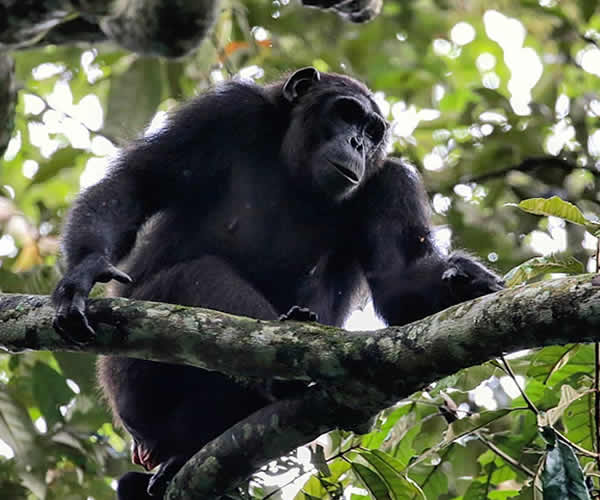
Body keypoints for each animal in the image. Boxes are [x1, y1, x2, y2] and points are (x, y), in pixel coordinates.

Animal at [51, 68, 504, 498]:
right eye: (347, 113)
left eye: (373, 131)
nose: (358, 143)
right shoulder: (222, 112)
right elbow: (137, 183)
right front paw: (85, 270)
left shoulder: (392, 182)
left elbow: (398, 284)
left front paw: (465, 280)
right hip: (132, 391)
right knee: (195, 277)